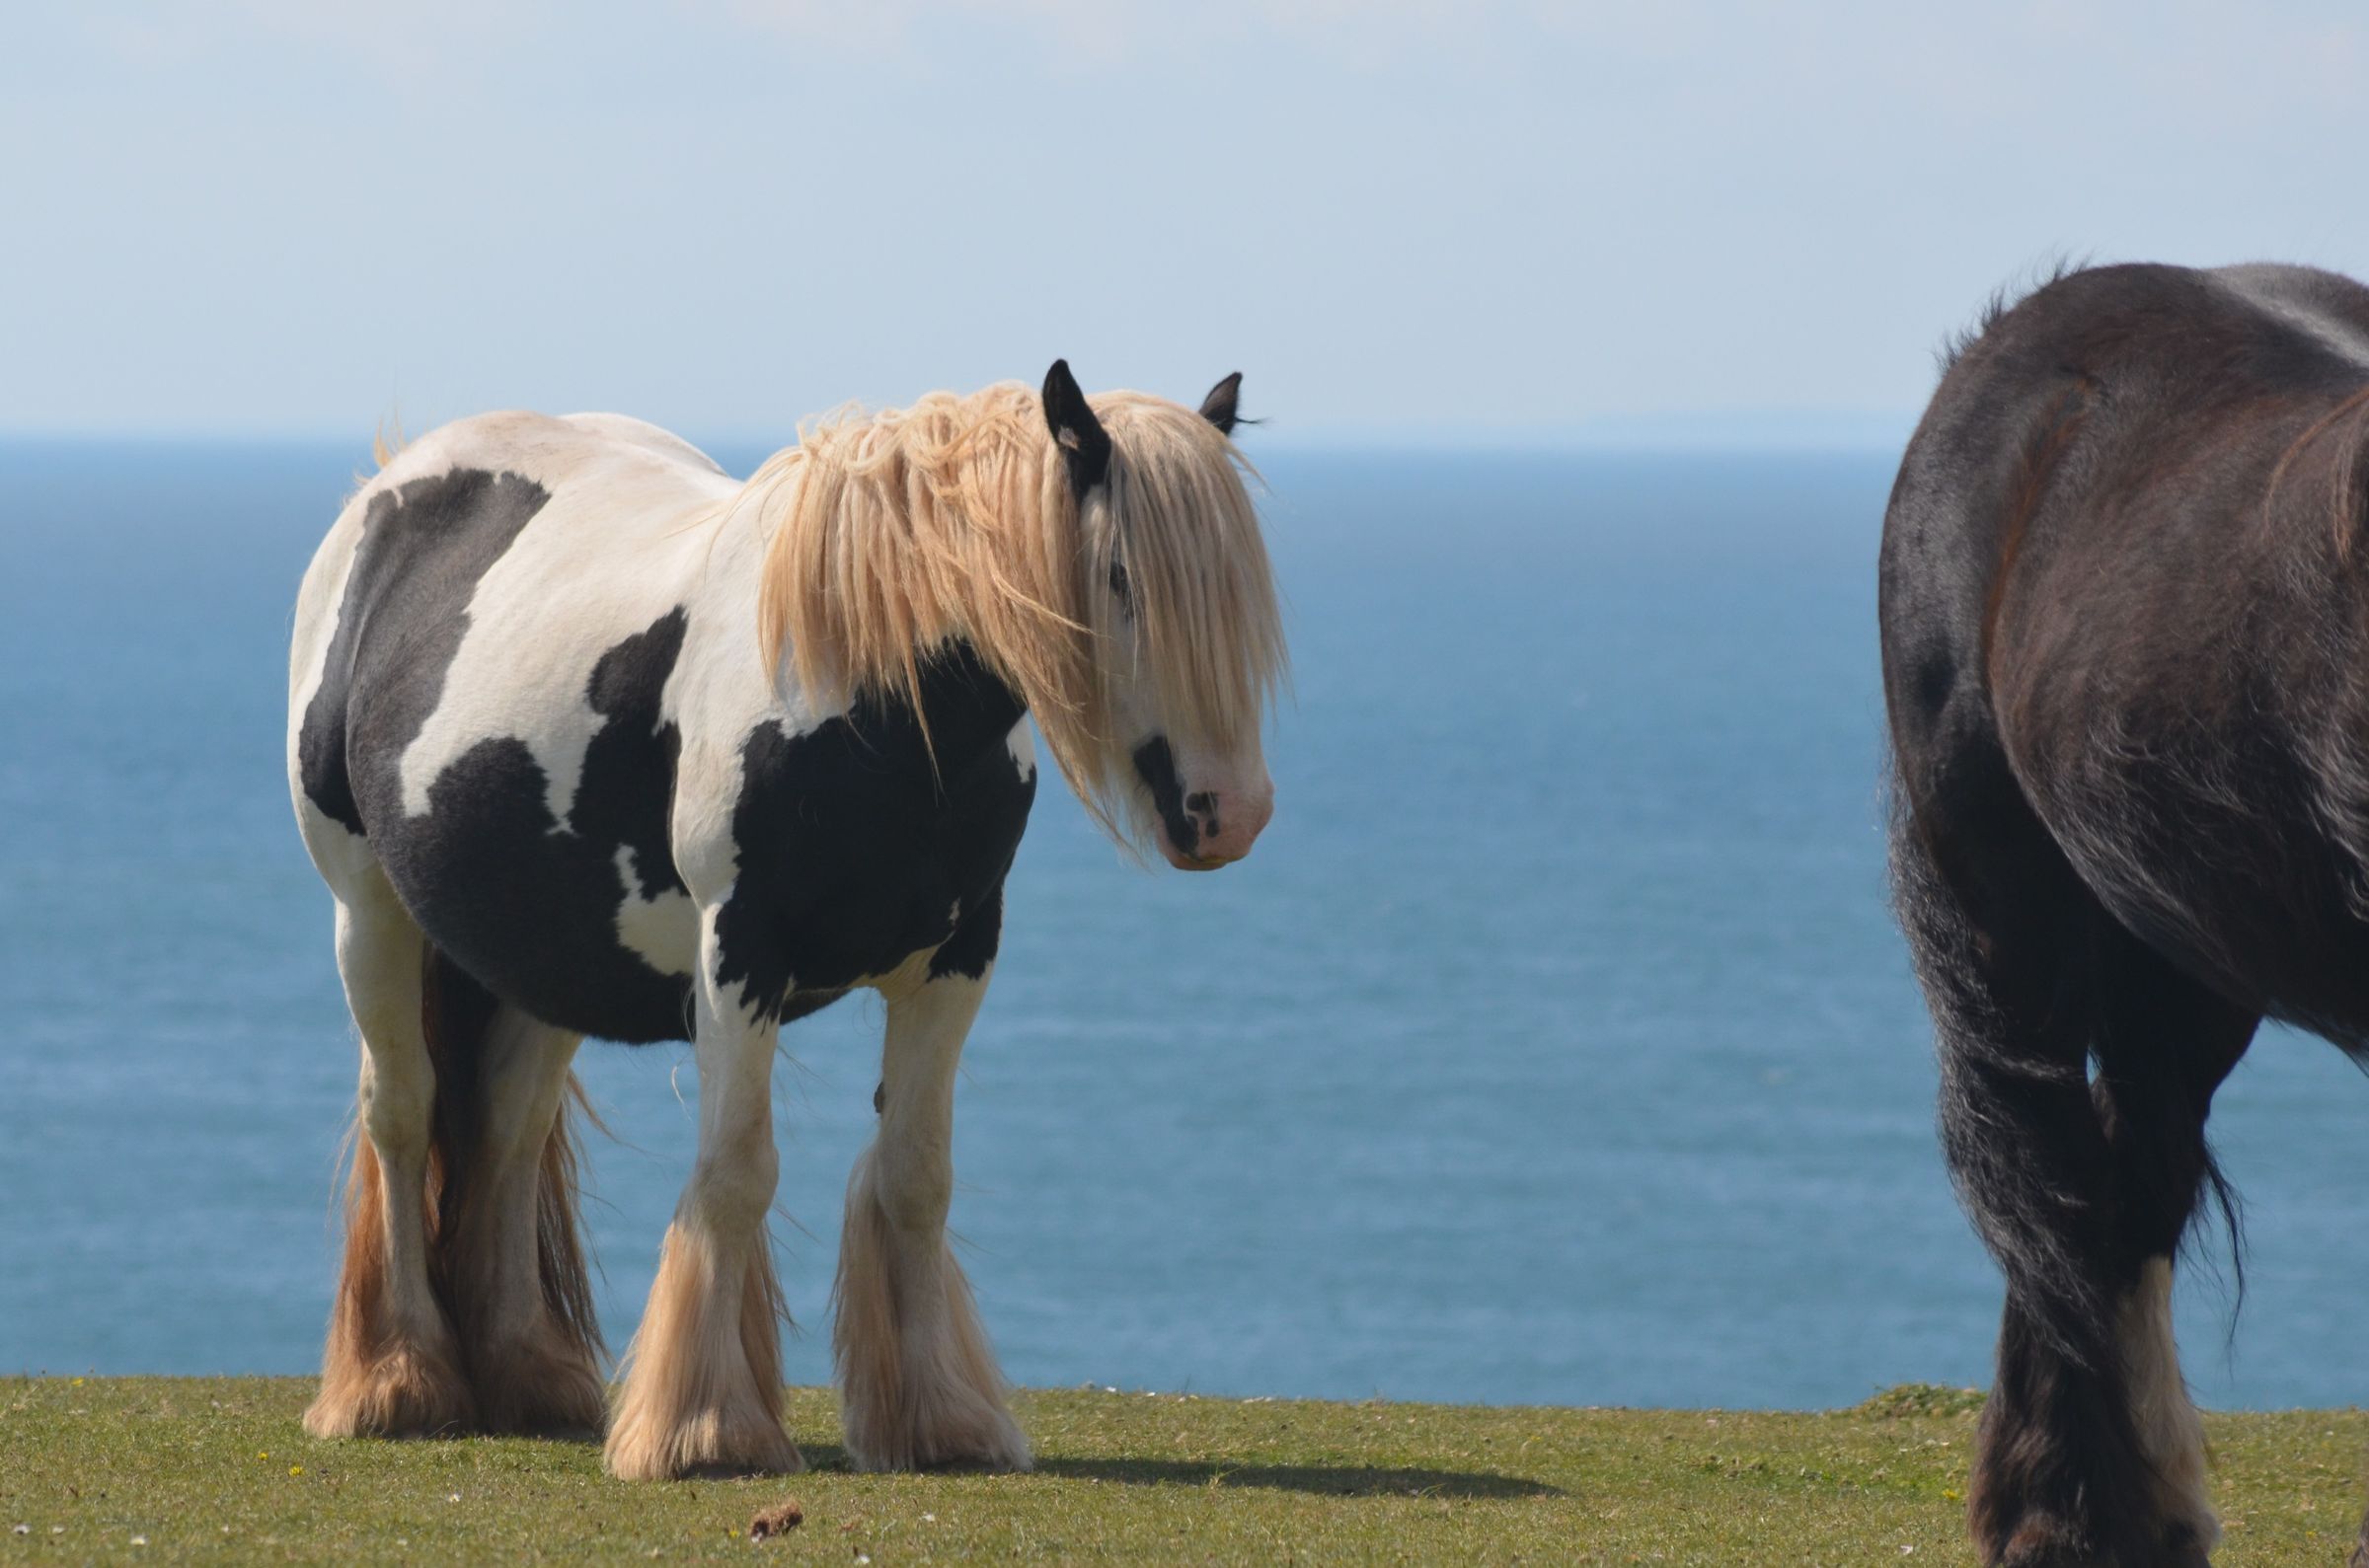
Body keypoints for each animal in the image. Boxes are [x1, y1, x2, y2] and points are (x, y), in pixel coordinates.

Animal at [284, 362, 1288, 1477]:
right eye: (1117, 575)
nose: (1229, 811)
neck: (867, 697)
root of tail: (391, 486)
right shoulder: (739, 959)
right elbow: (735, 1173)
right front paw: (702, 1429)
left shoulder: (958, 961)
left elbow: (916, 1177)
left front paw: (939, 1421)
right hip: (368, 910)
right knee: (403, 1113)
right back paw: (397, 1380)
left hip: (539, 958)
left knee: (506, 1126)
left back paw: (527, 1377)